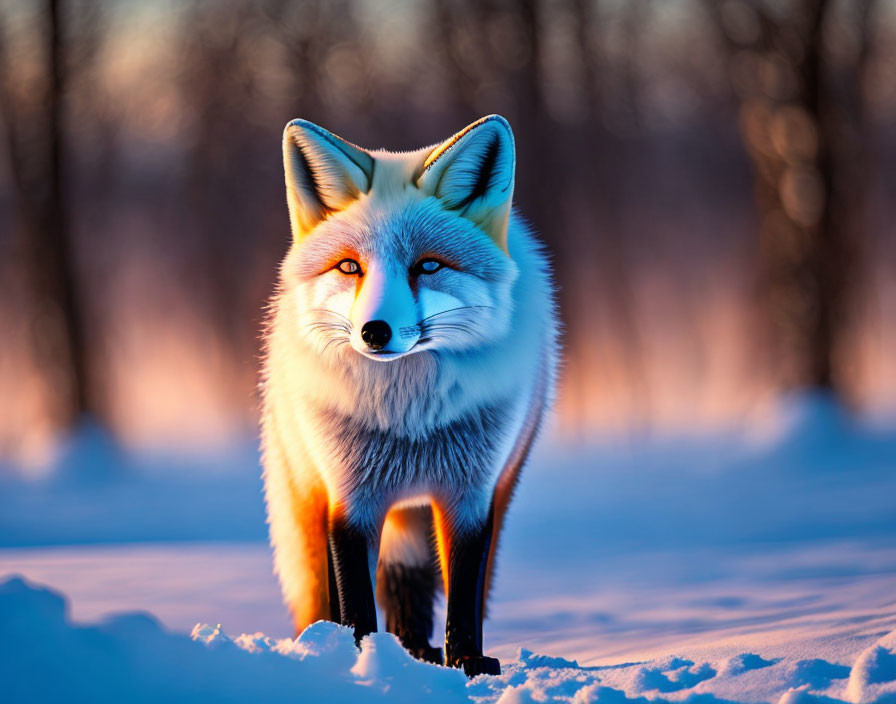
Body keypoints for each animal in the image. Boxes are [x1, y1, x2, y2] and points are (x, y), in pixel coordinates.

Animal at [260, 114, 556, 676]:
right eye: (349, 267)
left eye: (429, 266)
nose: (374, 331)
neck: (408, 423)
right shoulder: (350, 496)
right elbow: (355, 600)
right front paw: (362, 661)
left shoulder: (471, 492)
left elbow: (462, 593)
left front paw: (466, 662)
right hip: (306, 501)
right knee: (321, 598)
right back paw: (328, 647)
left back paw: (420, 653)